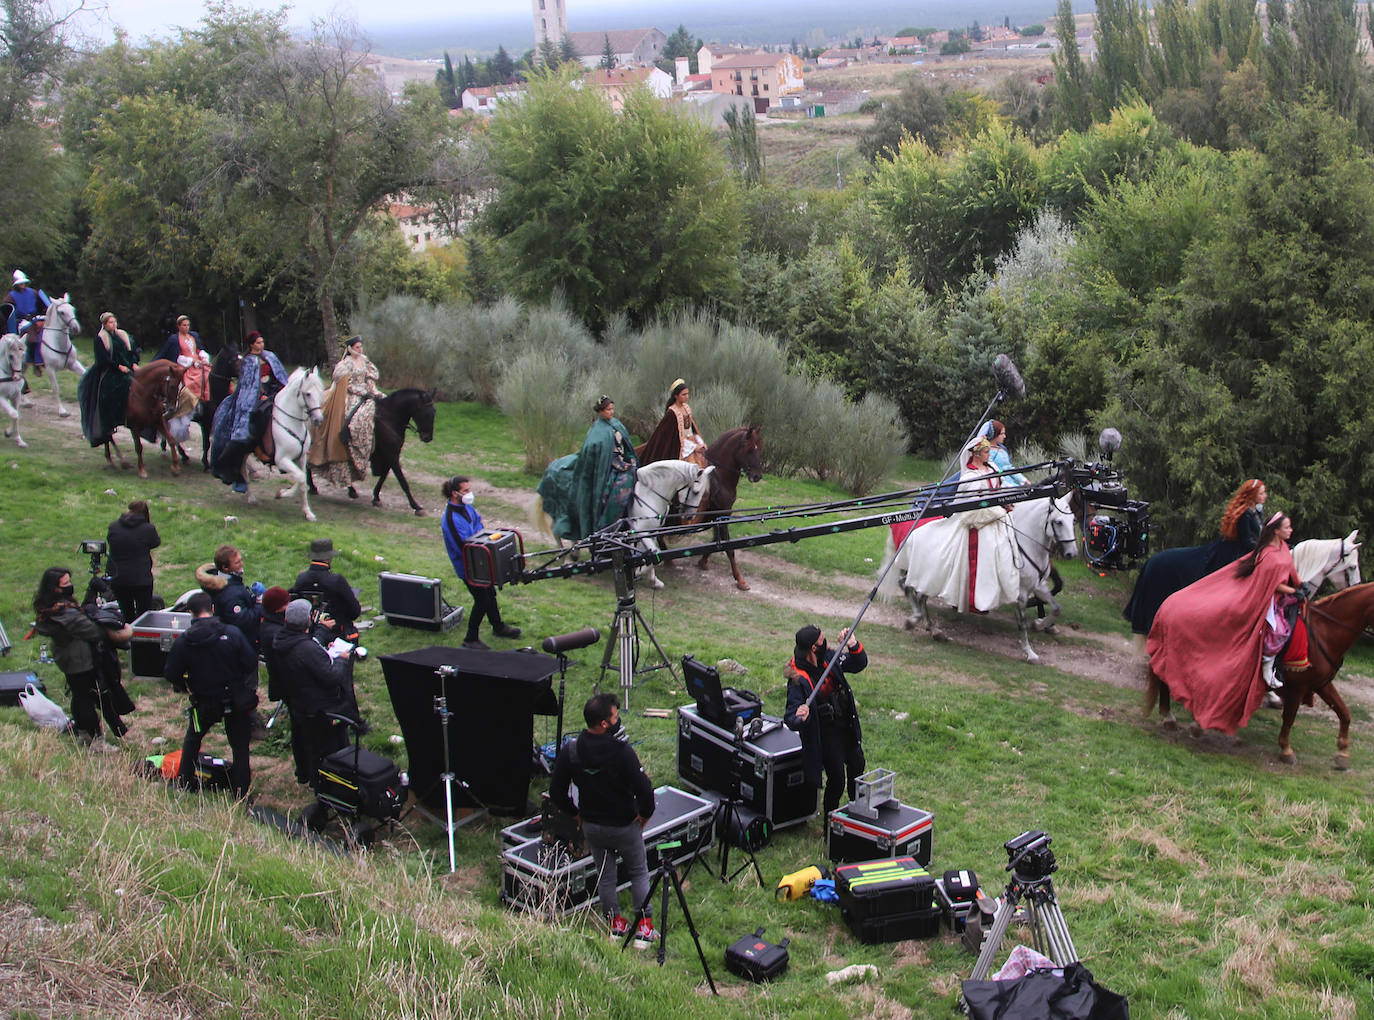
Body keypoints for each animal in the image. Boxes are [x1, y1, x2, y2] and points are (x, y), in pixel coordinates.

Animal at [243, 368, 325, 522]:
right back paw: (250, 497)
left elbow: (303, 482)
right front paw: (281, 493)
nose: (318, 419)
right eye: (308, 394)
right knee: (243, 472)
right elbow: (300, 478)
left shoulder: (302, 458)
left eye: (320, 392)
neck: (290, 423)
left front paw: (308, 513)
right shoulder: (282, 460)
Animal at [629, 461, 719, 596]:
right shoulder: (641, 532)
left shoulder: (652, 532)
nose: (690, 516)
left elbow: (651, 555)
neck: (649, 493)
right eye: (696, 492)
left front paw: (654, 581)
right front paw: (636, 572)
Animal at [879, 492, 1082, 662]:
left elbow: (1056, 608)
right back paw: (917, 621)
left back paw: (932, 629)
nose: (1071, 553)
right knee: (908, 587)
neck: (1022, 543)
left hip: (930, 576)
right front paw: (1030, 653)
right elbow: (1022, 623)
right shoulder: (1020, 593)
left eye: (1072, 520)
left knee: (916, 593)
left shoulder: (1038, 585)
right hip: (924, 573)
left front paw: (1040, 624)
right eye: (1058, 522)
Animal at [1143, 580, 1374, 769]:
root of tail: (1169, 601)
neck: (1324, 633)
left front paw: (1342, 753)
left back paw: (1173, 718)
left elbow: (1344, 712)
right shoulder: (1297, 687)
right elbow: (1289, 718)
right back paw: (1170, 717)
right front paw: (1286, 750)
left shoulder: (1321, 684)